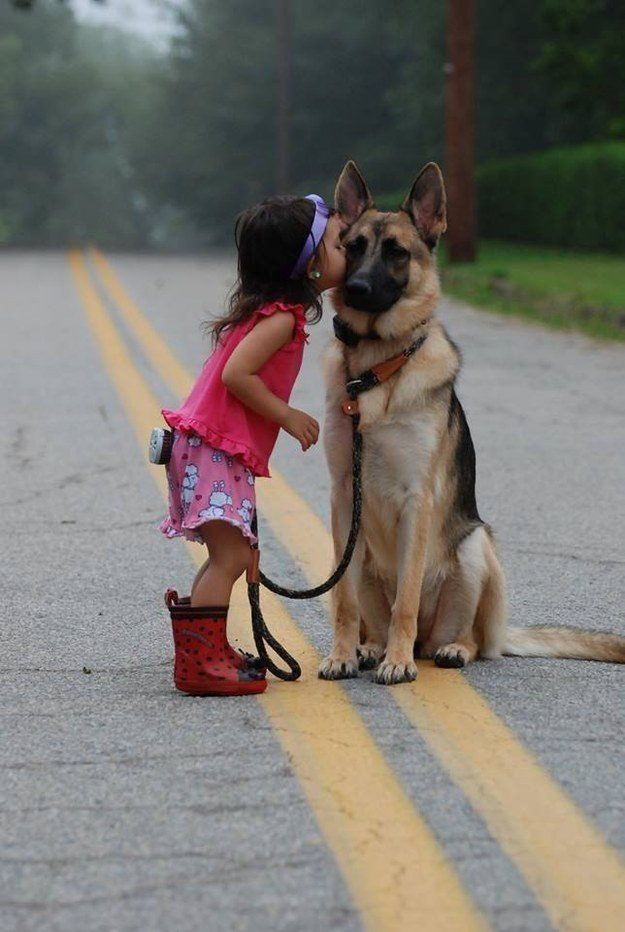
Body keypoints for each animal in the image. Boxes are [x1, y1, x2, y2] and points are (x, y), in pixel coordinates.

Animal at [320, 160, 624, 684]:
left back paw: (443, 650)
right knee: (371, 618)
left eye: (396, 252)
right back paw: (371, 648)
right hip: (365, 560)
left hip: (475, 547)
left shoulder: (417, 500)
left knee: (472, 640)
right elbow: (343, 600)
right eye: (353, 246)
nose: (355, 290)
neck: (377, 369)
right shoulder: (343, 497)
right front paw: (343, 654)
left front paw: (398, 663)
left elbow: (405, 597)